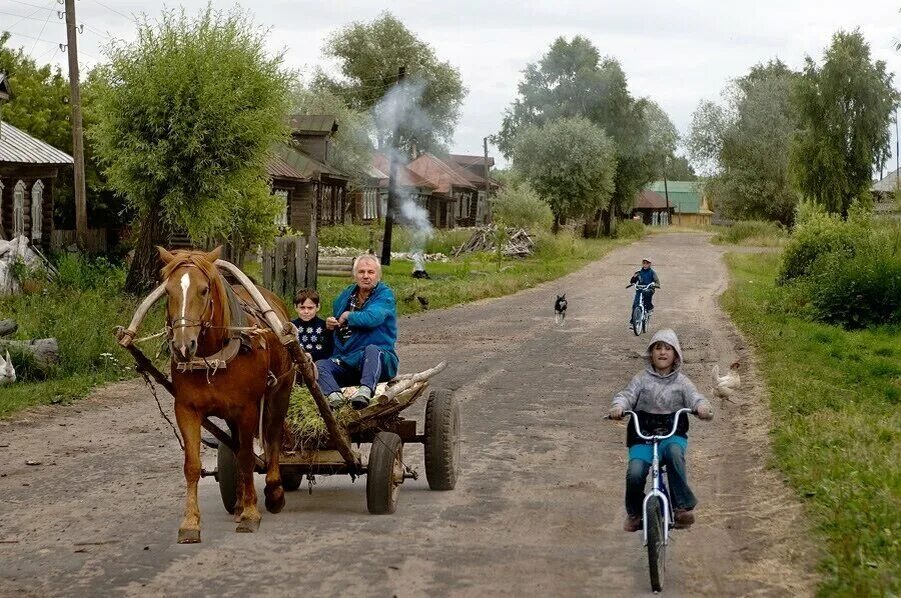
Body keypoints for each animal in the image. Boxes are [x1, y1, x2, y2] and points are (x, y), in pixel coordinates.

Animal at [156, 246, 294, 548]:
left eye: (204, 289)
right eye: (168, 291)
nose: (183, 346)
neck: (213, 358)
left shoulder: (248, 409)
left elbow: (247, 458)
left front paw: (251, 515)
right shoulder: (186, 409)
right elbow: (193, 465)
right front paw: (190, 523)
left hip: (280, 392)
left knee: (273, 436)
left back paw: (274, 492)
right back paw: (240, 502)